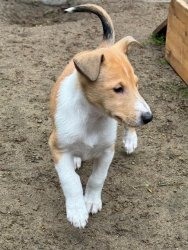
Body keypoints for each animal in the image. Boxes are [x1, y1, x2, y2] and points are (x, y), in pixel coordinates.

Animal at [48, 3, 153, 229]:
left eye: (136, 84)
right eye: (118, 89)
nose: (149, 117)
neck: (92, 117)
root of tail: (103, 46)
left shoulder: (107, 151)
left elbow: (98, 178)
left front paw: (91, 201)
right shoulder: (58, 149)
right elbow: (71, 181)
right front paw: (77, 211)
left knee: (128, 124)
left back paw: (130, 139)